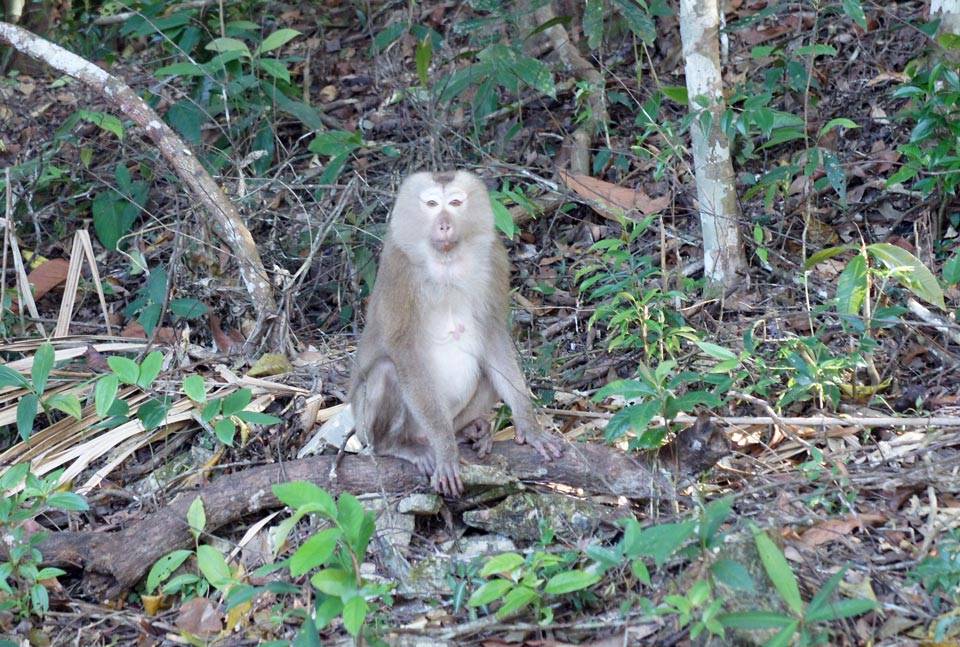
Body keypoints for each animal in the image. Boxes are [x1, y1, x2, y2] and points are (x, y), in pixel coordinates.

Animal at [349, 170, 564, 497]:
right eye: (432, 204)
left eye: (455, 203)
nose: (444, 224)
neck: (446, 263)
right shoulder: (399, 267)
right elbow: (403, 350)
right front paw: (446, 450)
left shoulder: (493, 258)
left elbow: (493, 335)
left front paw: (529, 425)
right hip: (370, 426)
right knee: (388, 371)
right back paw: (399, 445)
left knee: (488, 377)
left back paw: (467, 431)